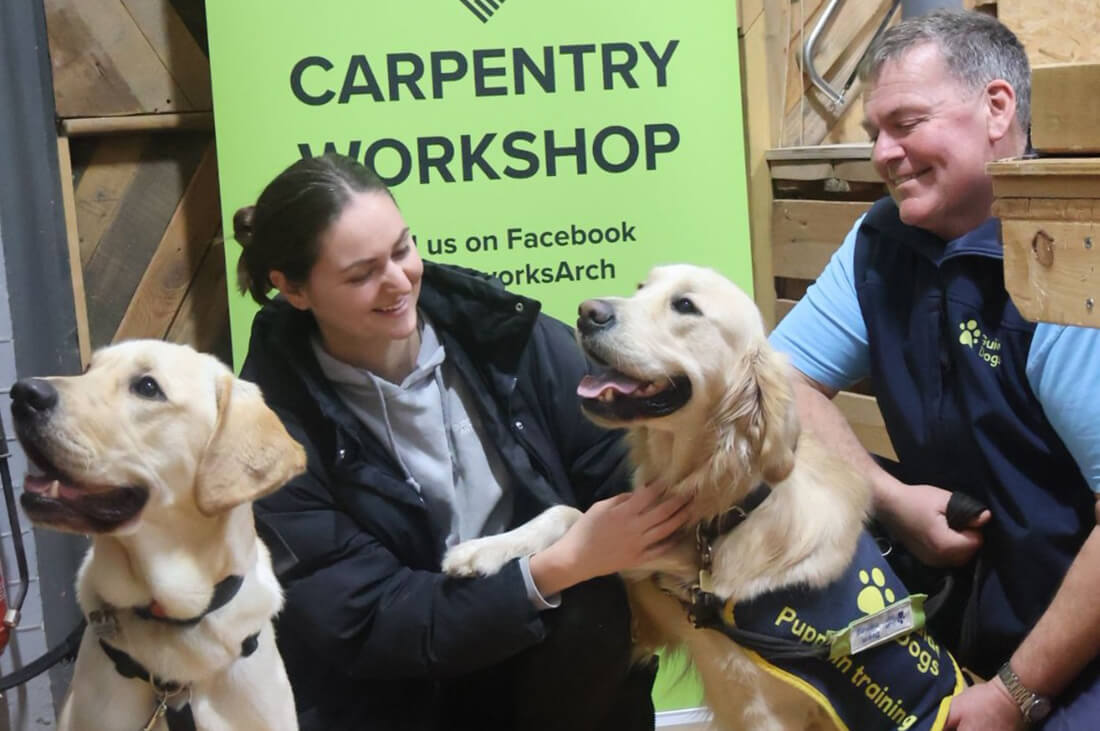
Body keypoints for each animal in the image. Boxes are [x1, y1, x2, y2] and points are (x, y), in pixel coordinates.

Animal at [444, 267, 963, 729]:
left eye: (685, 306)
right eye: (641, 287)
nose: (586, 312)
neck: (718, 514)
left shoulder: (765, 710)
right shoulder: (647, 600)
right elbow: (569, 514)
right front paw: (480, 551)